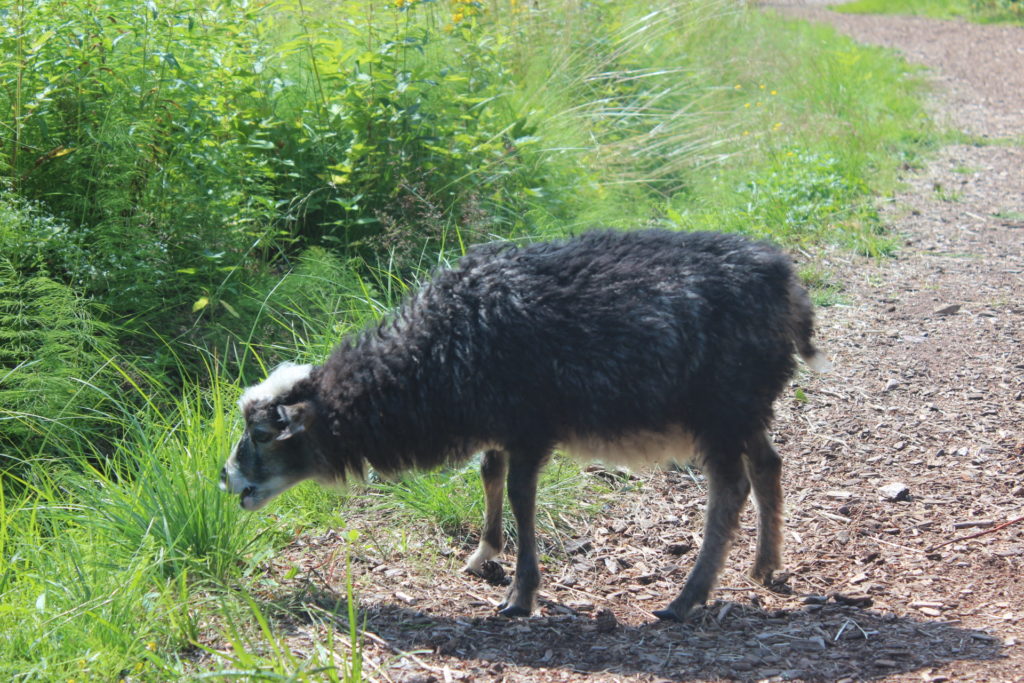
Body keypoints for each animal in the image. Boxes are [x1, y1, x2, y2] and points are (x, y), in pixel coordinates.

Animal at [220, 228, 827, 618]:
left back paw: (686, 598)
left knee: (732, 488)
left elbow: (519, 496)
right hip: (746, 406)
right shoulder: (502, 426)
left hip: (720, 409)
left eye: (261, 435)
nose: (227, 480)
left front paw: (521, 594)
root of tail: (788, 287)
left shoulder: (531, 427)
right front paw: (485, 555)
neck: (435, 355)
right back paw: (765, 566)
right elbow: (489, 475)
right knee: (769, 466)